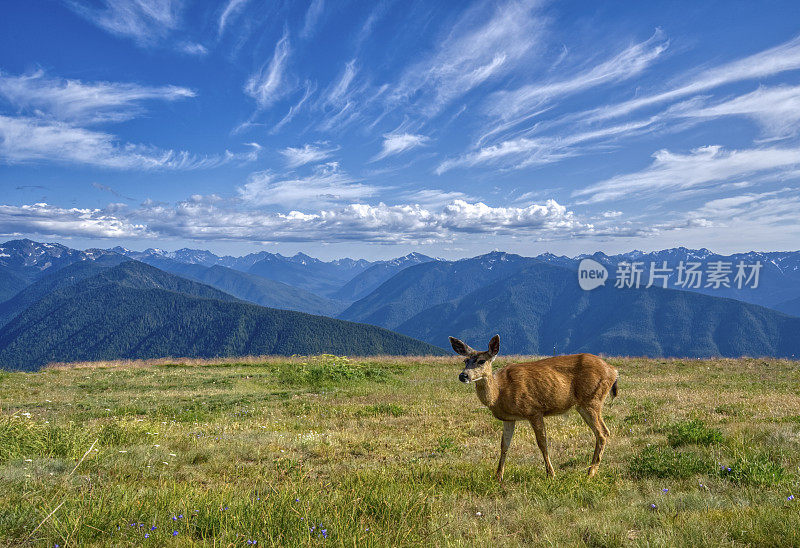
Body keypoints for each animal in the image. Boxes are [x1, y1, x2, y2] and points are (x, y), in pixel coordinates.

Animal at [450, 334, 620, 480]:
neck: (499, 393)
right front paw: (498, 476)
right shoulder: (508, 418)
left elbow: (542, 443)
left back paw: (590, 473)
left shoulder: (534, 410)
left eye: (481, 361)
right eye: (465, 361)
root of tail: (614, 371)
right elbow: (504, 445)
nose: (463, 375)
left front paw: (551, 474)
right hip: (586, 403)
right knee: (603, 432)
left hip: (591, 399)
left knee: (602, 432)